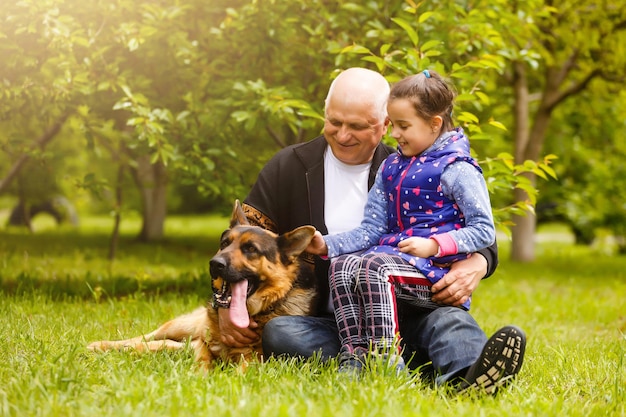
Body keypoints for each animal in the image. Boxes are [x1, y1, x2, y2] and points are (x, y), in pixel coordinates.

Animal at [88, 202, 316, 368]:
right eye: (224, 243)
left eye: (251, 248)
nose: (215, 264)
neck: (256, 313)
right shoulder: (202, 344)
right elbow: (203, 359)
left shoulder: (254, 360)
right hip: (180, 326)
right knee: (145, 338)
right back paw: (103, 345)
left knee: (159, 343)